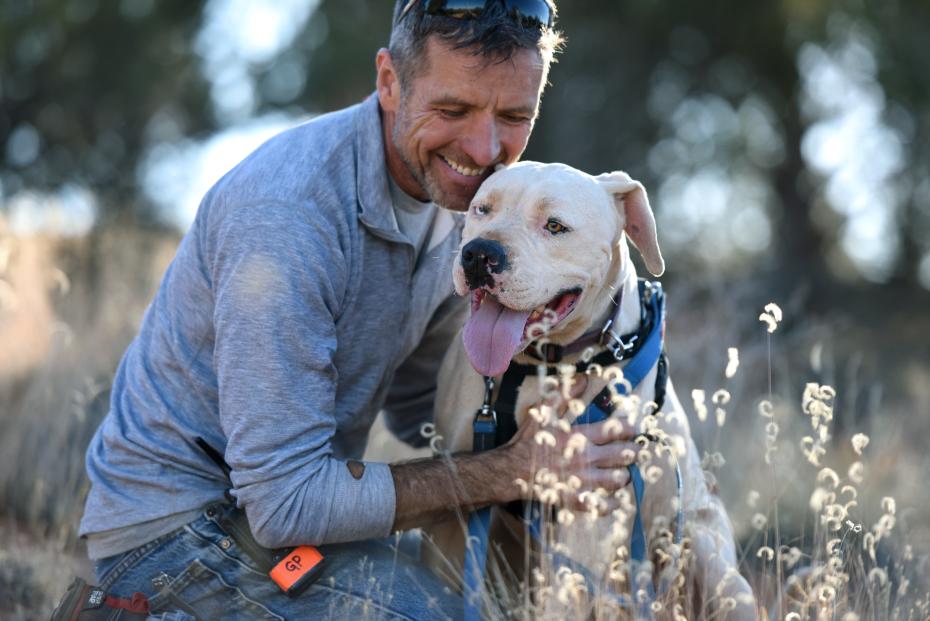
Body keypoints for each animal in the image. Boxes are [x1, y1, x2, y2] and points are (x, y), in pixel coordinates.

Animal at [424, 162, 756, 616]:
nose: (479, 253)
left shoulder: (587, 513)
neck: (541, 365)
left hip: (714, 564)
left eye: (555, 226)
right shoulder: (455, 502)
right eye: (482, 209)